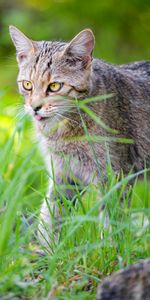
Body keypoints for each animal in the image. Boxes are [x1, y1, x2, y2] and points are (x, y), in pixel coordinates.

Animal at [9, 25, 150, 246]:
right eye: (27, 85)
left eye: (54, 86)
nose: (34, 107)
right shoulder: (63, 173)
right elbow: (50, 218)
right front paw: (47, 251)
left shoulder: (115, 176)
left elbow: (112, 223)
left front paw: (108, 248)